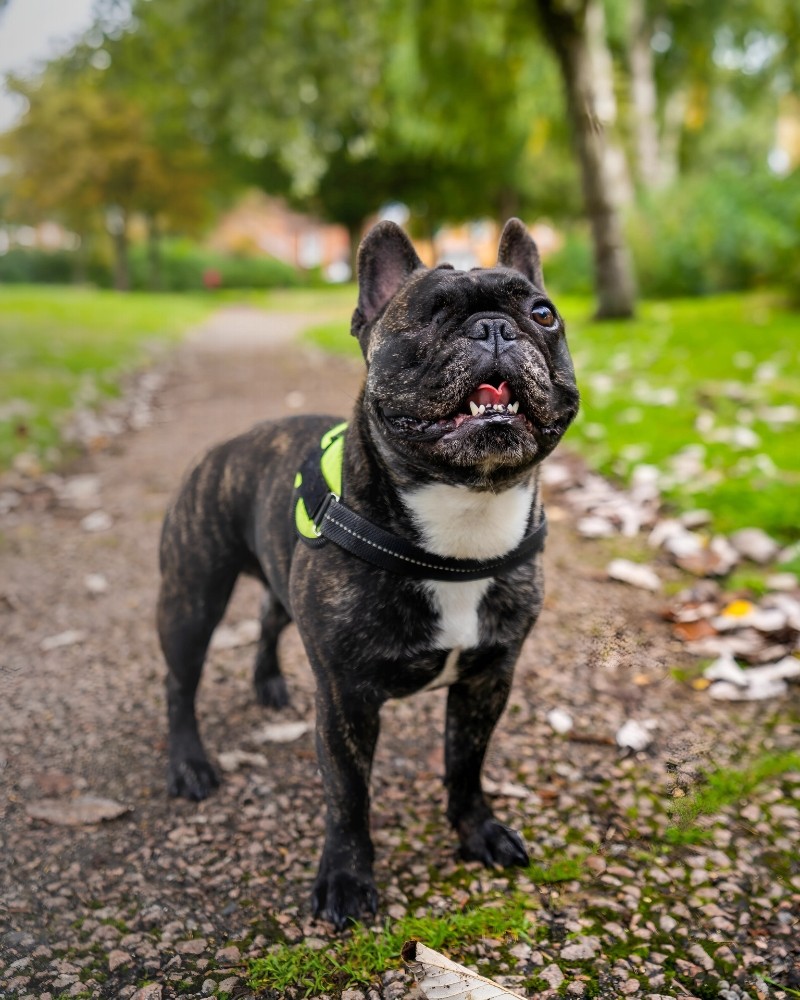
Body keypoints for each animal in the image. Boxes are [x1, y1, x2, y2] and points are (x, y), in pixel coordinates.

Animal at [156, 221, 580, 928]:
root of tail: (230, 443)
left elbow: (466, 763)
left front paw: (477, 830)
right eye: (429, 314)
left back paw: (269, 684)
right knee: (179, 681)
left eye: (543, 314)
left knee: (270, 617)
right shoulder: (346, 696)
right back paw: (189, 764)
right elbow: (349, 796)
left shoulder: (489, 677)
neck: (465, 516)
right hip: (191, 597)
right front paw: (347, 880)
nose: (494, 327)